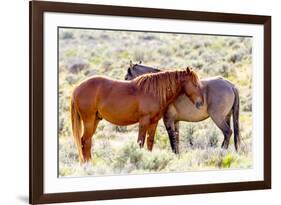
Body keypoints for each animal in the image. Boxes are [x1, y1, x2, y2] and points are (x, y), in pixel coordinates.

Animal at [70, 67, 202, 163]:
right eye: (195, 84)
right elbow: (140, 142)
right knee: (85, 141)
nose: (200, 103)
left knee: (86, 141)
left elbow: (150, 142)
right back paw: (88, 165)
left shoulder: (154, 122)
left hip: (95, 120)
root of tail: (77, 88)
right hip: (89, 120)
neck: (153, 92)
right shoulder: (144, 121)